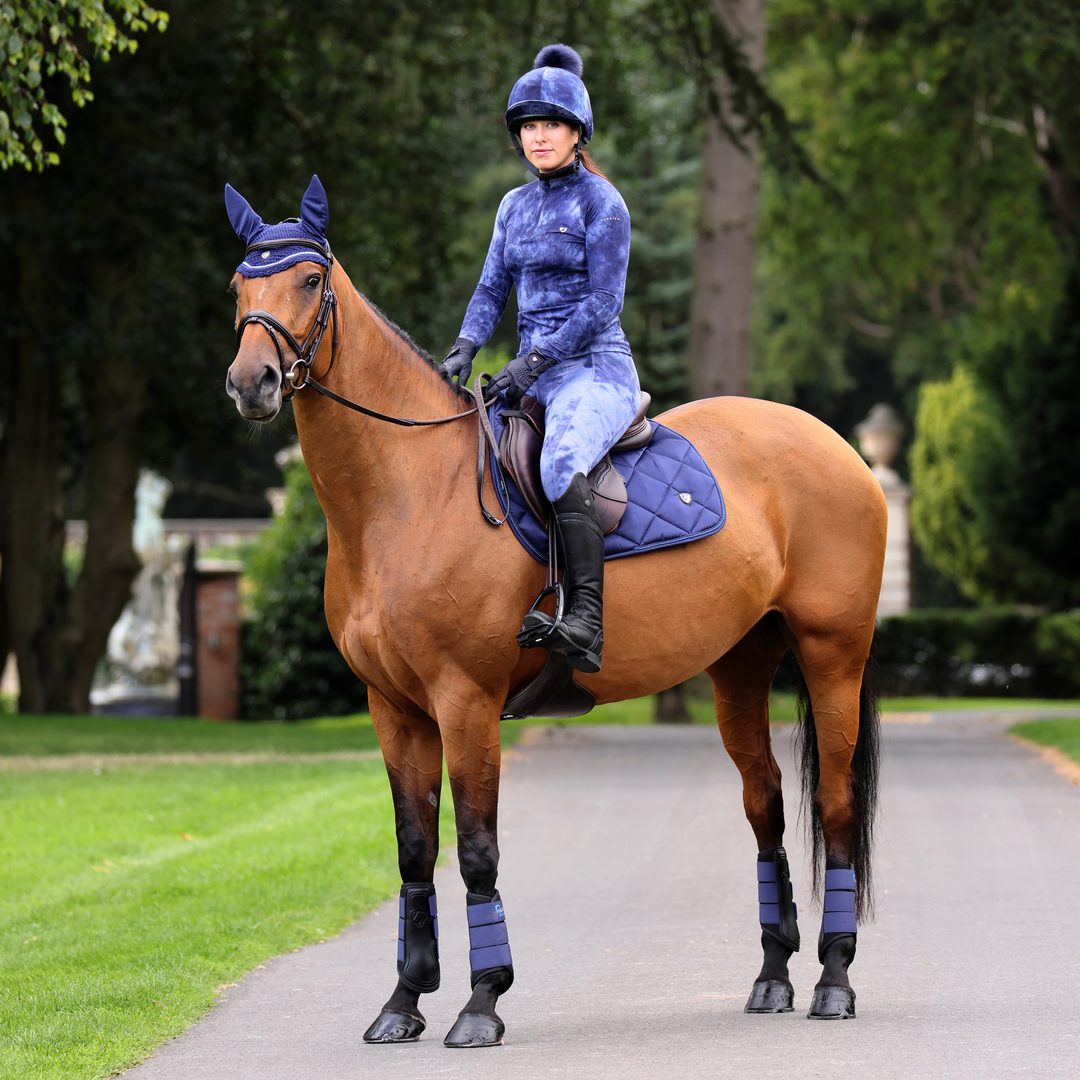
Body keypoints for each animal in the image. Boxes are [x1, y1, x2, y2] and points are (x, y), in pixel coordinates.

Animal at [224, 177, 885, 1046]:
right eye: (238, 288)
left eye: (308, 281)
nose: (252, 383)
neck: (407, 491)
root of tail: (841, 449)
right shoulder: (393, 709)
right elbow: (413, 853)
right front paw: (403, 1001)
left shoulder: (464, 703)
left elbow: (475, 852)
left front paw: (481, 1002)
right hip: (741, 669)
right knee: (765, 806)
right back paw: (774, 975)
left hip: (833, 656)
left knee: (834, 810)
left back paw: (835, 981)